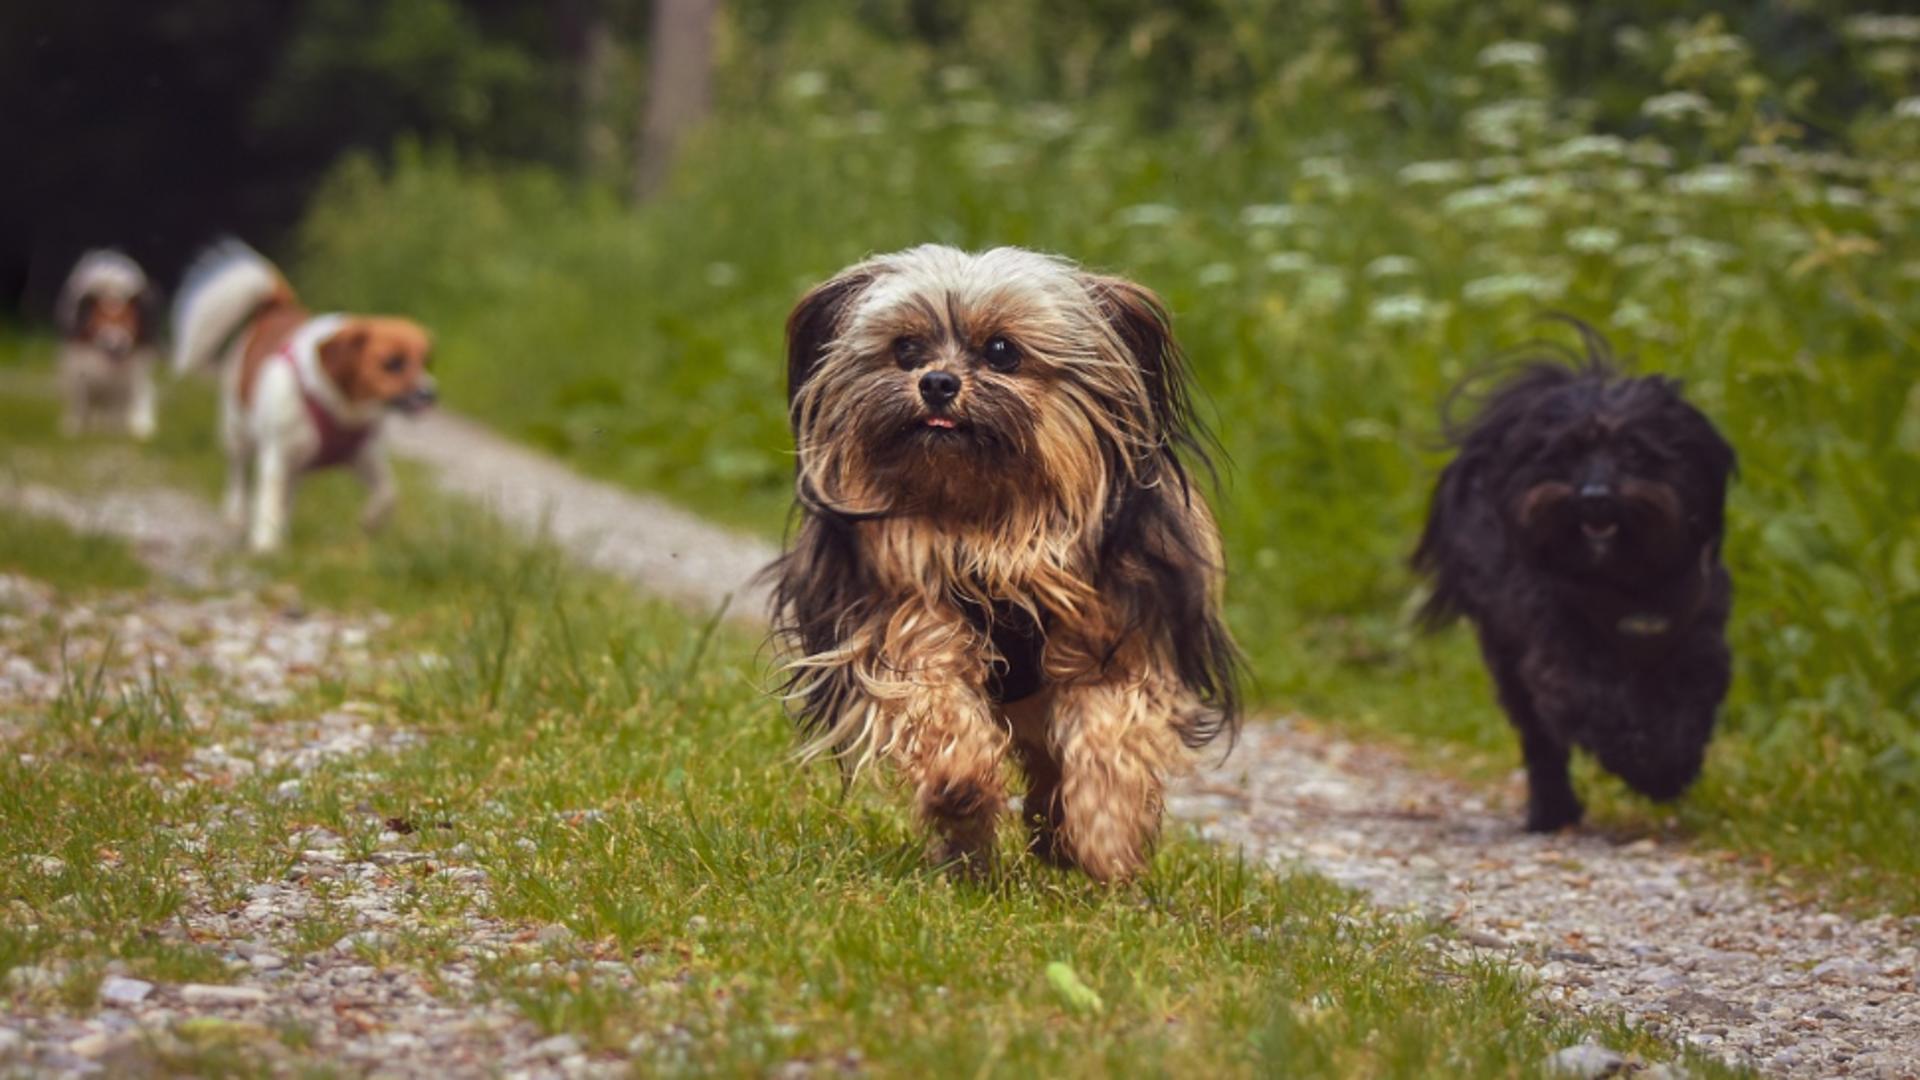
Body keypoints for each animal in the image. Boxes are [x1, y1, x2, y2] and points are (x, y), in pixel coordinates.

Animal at [55, 247, 161, 438]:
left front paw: (132, 429)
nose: (117, 344)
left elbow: (128, 407)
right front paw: (73, 429)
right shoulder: (78, 375)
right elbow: (79, 404)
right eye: (100, 325)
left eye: (128, 324)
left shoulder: (132, 381)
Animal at [171, 238, 435, 549]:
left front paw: (370, 521)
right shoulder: (277, 454)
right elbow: (268, 500)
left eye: (425, 361)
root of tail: (278, 307)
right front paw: (266, 545)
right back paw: (236, 512)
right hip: (236, 429)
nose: (430, 393)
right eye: (392, 363)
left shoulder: (364, 456)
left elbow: (388, 493)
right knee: (238, 472)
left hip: (299, 462)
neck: (341, 405)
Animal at [768, 245, 1236, 883]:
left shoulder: (1117, 634)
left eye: (1001, 351)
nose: (937, 381)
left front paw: (1106, 838)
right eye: (906, 349)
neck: (989, 525)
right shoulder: (904, 615)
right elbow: (932, 697)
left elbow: (1108, 733)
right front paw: (959, 780)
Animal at [1413, 322, 1743, 826]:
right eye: (1566, 453)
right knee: (1540, 739)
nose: (1595, 497)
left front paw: (1670, 765)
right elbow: (1598, 703)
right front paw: (1644, 763)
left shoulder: (1698, 639)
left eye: (1634, 451)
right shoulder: (1559, 649)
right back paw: (1553, 810)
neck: (1627, 581)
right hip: (1508, 655)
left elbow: (1686, 703)